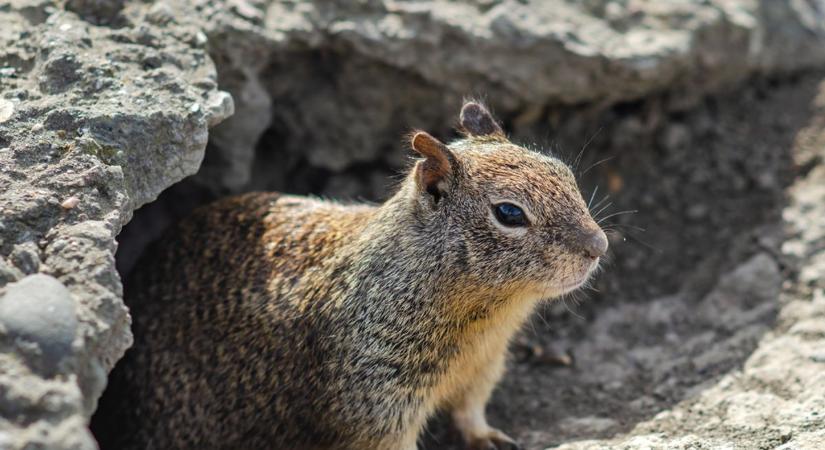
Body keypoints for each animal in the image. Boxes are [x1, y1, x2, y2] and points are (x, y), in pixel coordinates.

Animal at [91, 102, 604, 450]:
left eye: (564, 172)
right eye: (509, 213)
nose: (598, 246)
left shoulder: (483, 368)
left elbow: (470, 412)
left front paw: (488, 437)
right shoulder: (373, 404)